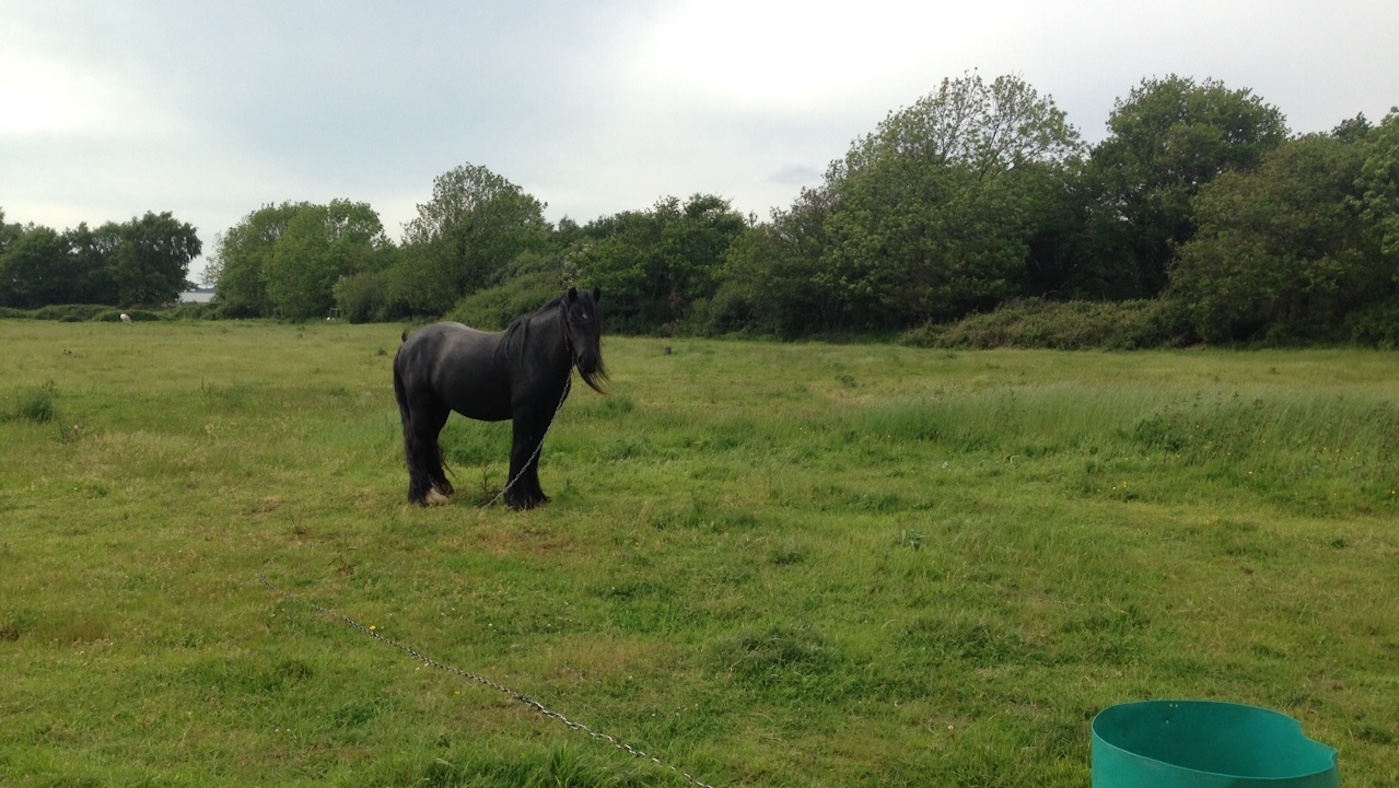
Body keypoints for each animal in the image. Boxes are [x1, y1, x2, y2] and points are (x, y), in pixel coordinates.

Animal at [393, 287, 606, 510]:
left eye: (596, 322)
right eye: (571, 321)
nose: (588, 361)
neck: (535, 354)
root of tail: (407, 344)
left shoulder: (546, 414)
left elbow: (534, 453)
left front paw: (536, 496)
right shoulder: (524, 411)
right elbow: (521, 449)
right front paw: (517, 499)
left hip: (439, 410)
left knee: (428, 441)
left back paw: (434, 489)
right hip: (420, 406)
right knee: (417, 442)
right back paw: (424, 496)